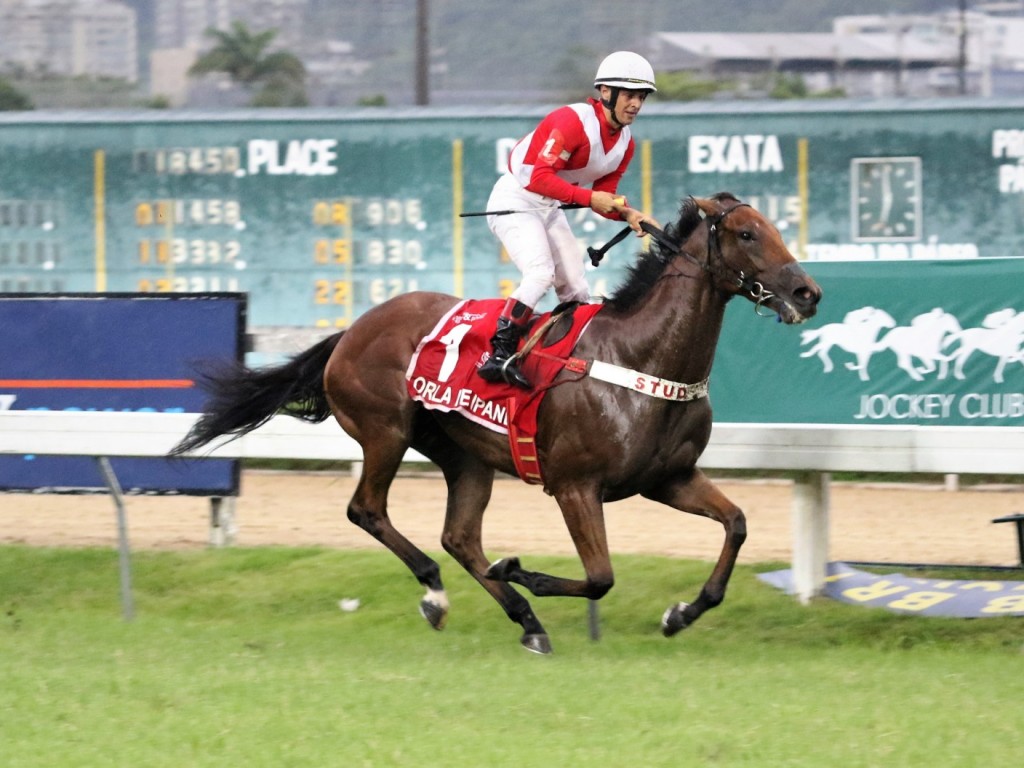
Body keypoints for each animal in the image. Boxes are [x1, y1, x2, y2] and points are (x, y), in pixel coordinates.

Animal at [169, 192, 823, 655]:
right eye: (746, 233)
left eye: (773, 229)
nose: (807, 292)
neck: (642, 358)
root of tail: (351, 330)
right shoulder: (575, 486)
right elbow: (600, 577)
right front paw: (521, 570)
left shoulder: (669, 478)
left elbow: (736, 525)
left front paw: (681, 613)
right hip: (386, 431)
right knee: (369, 511)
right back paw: (438, 592)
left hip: (466, 456)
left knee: (459, 537)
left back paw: (525, 619)